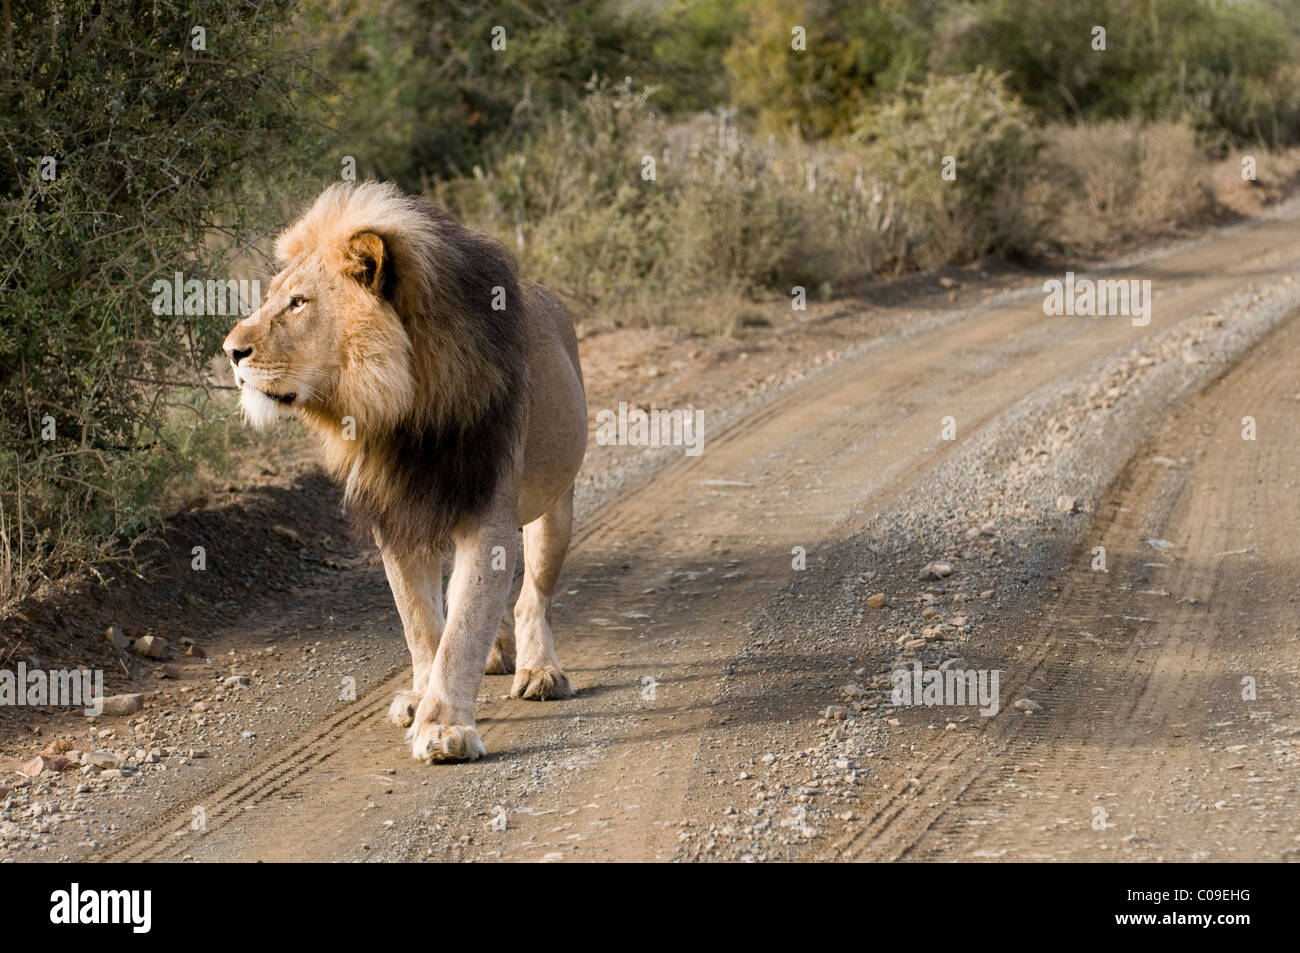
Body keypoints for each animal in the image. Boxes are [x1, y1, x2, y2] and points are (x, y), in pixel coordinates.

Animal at [222, 181, 587, 763]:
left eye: (299, 302)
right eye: (273, 296)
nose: (231, 351)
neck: (402, 410)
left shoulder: (487, 514)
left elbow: (462, 627)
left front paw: (445, 728)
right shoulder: (398, 515)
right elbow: (423, 624)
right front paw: (422, 699)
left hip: (556, 503)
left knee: (534, 596)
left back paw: (538, 671)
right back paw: (496, 656)